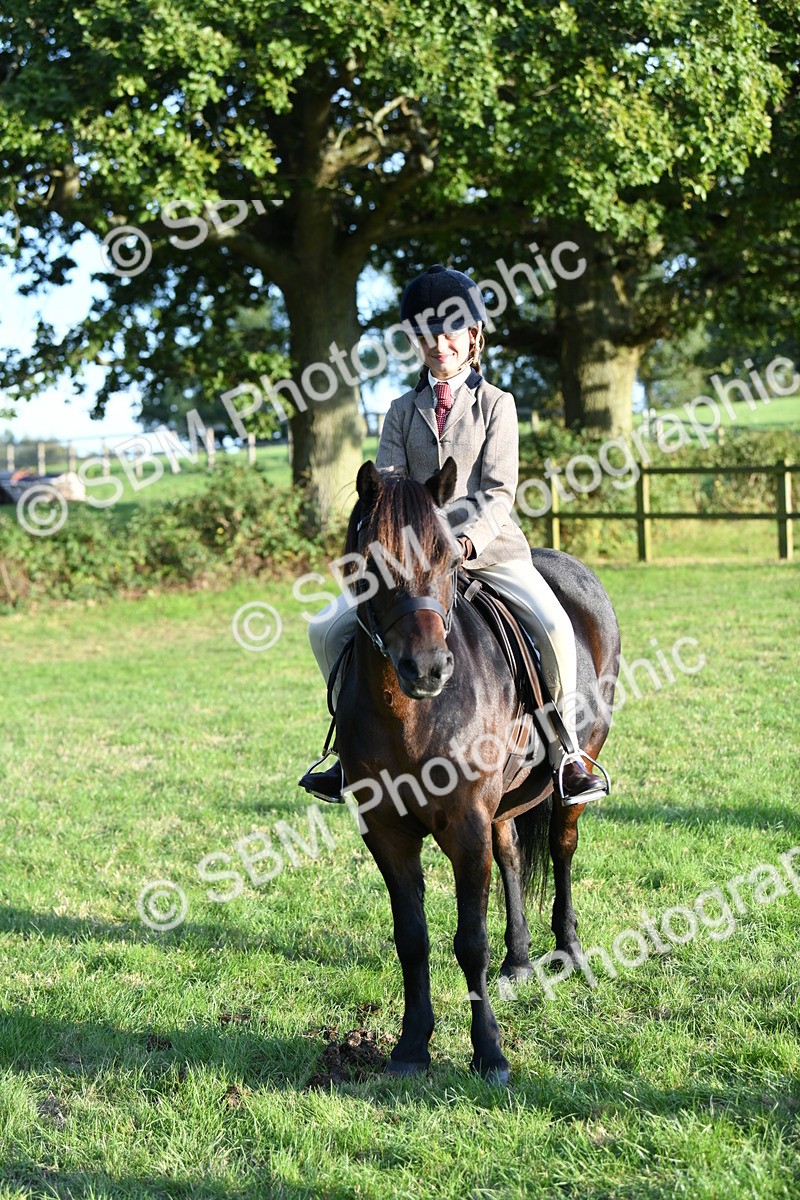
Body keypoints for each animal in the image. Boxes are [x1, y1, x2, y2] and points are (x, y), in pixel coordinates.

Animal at [334, 458, 620, 1084]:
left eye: (447, 558)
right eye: (373, 562)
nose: (428, 668)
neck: (410, 713)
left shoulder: (465, 825)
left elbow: (470, 941)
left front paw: (488, 1052)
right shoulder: (387, 832)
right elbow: (412, 938)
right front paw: (411, 1045)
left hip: (577, 769)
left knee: (562, 848)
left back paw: (569, 952)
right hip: (503, 802)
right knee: (511, 851)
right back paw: (519, 962)